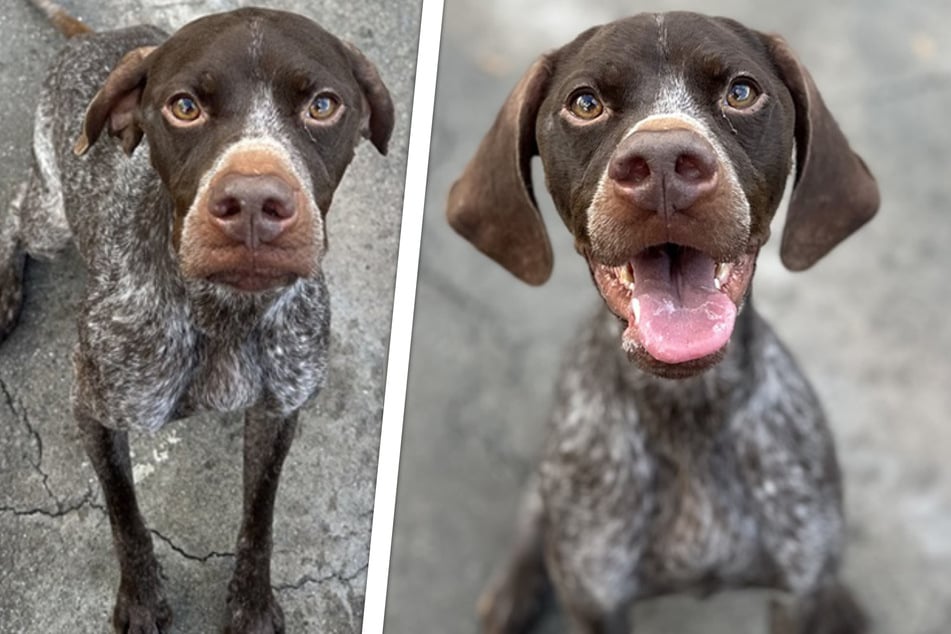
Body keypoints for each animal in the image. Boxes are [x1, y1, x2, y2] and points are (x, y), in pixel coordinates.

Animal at [0, 2, 392, 628]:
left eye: (323, 105)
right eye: (184, 107)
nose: (254, 203)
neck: (226, 309)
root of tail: (97, 38)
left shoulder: (279, 411)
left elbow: (259, 517)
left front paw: (251, 603)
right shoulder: (94, 408)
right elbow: (124, 514)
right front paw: (141, 596)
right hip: (52, 221)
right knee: (17, 209)